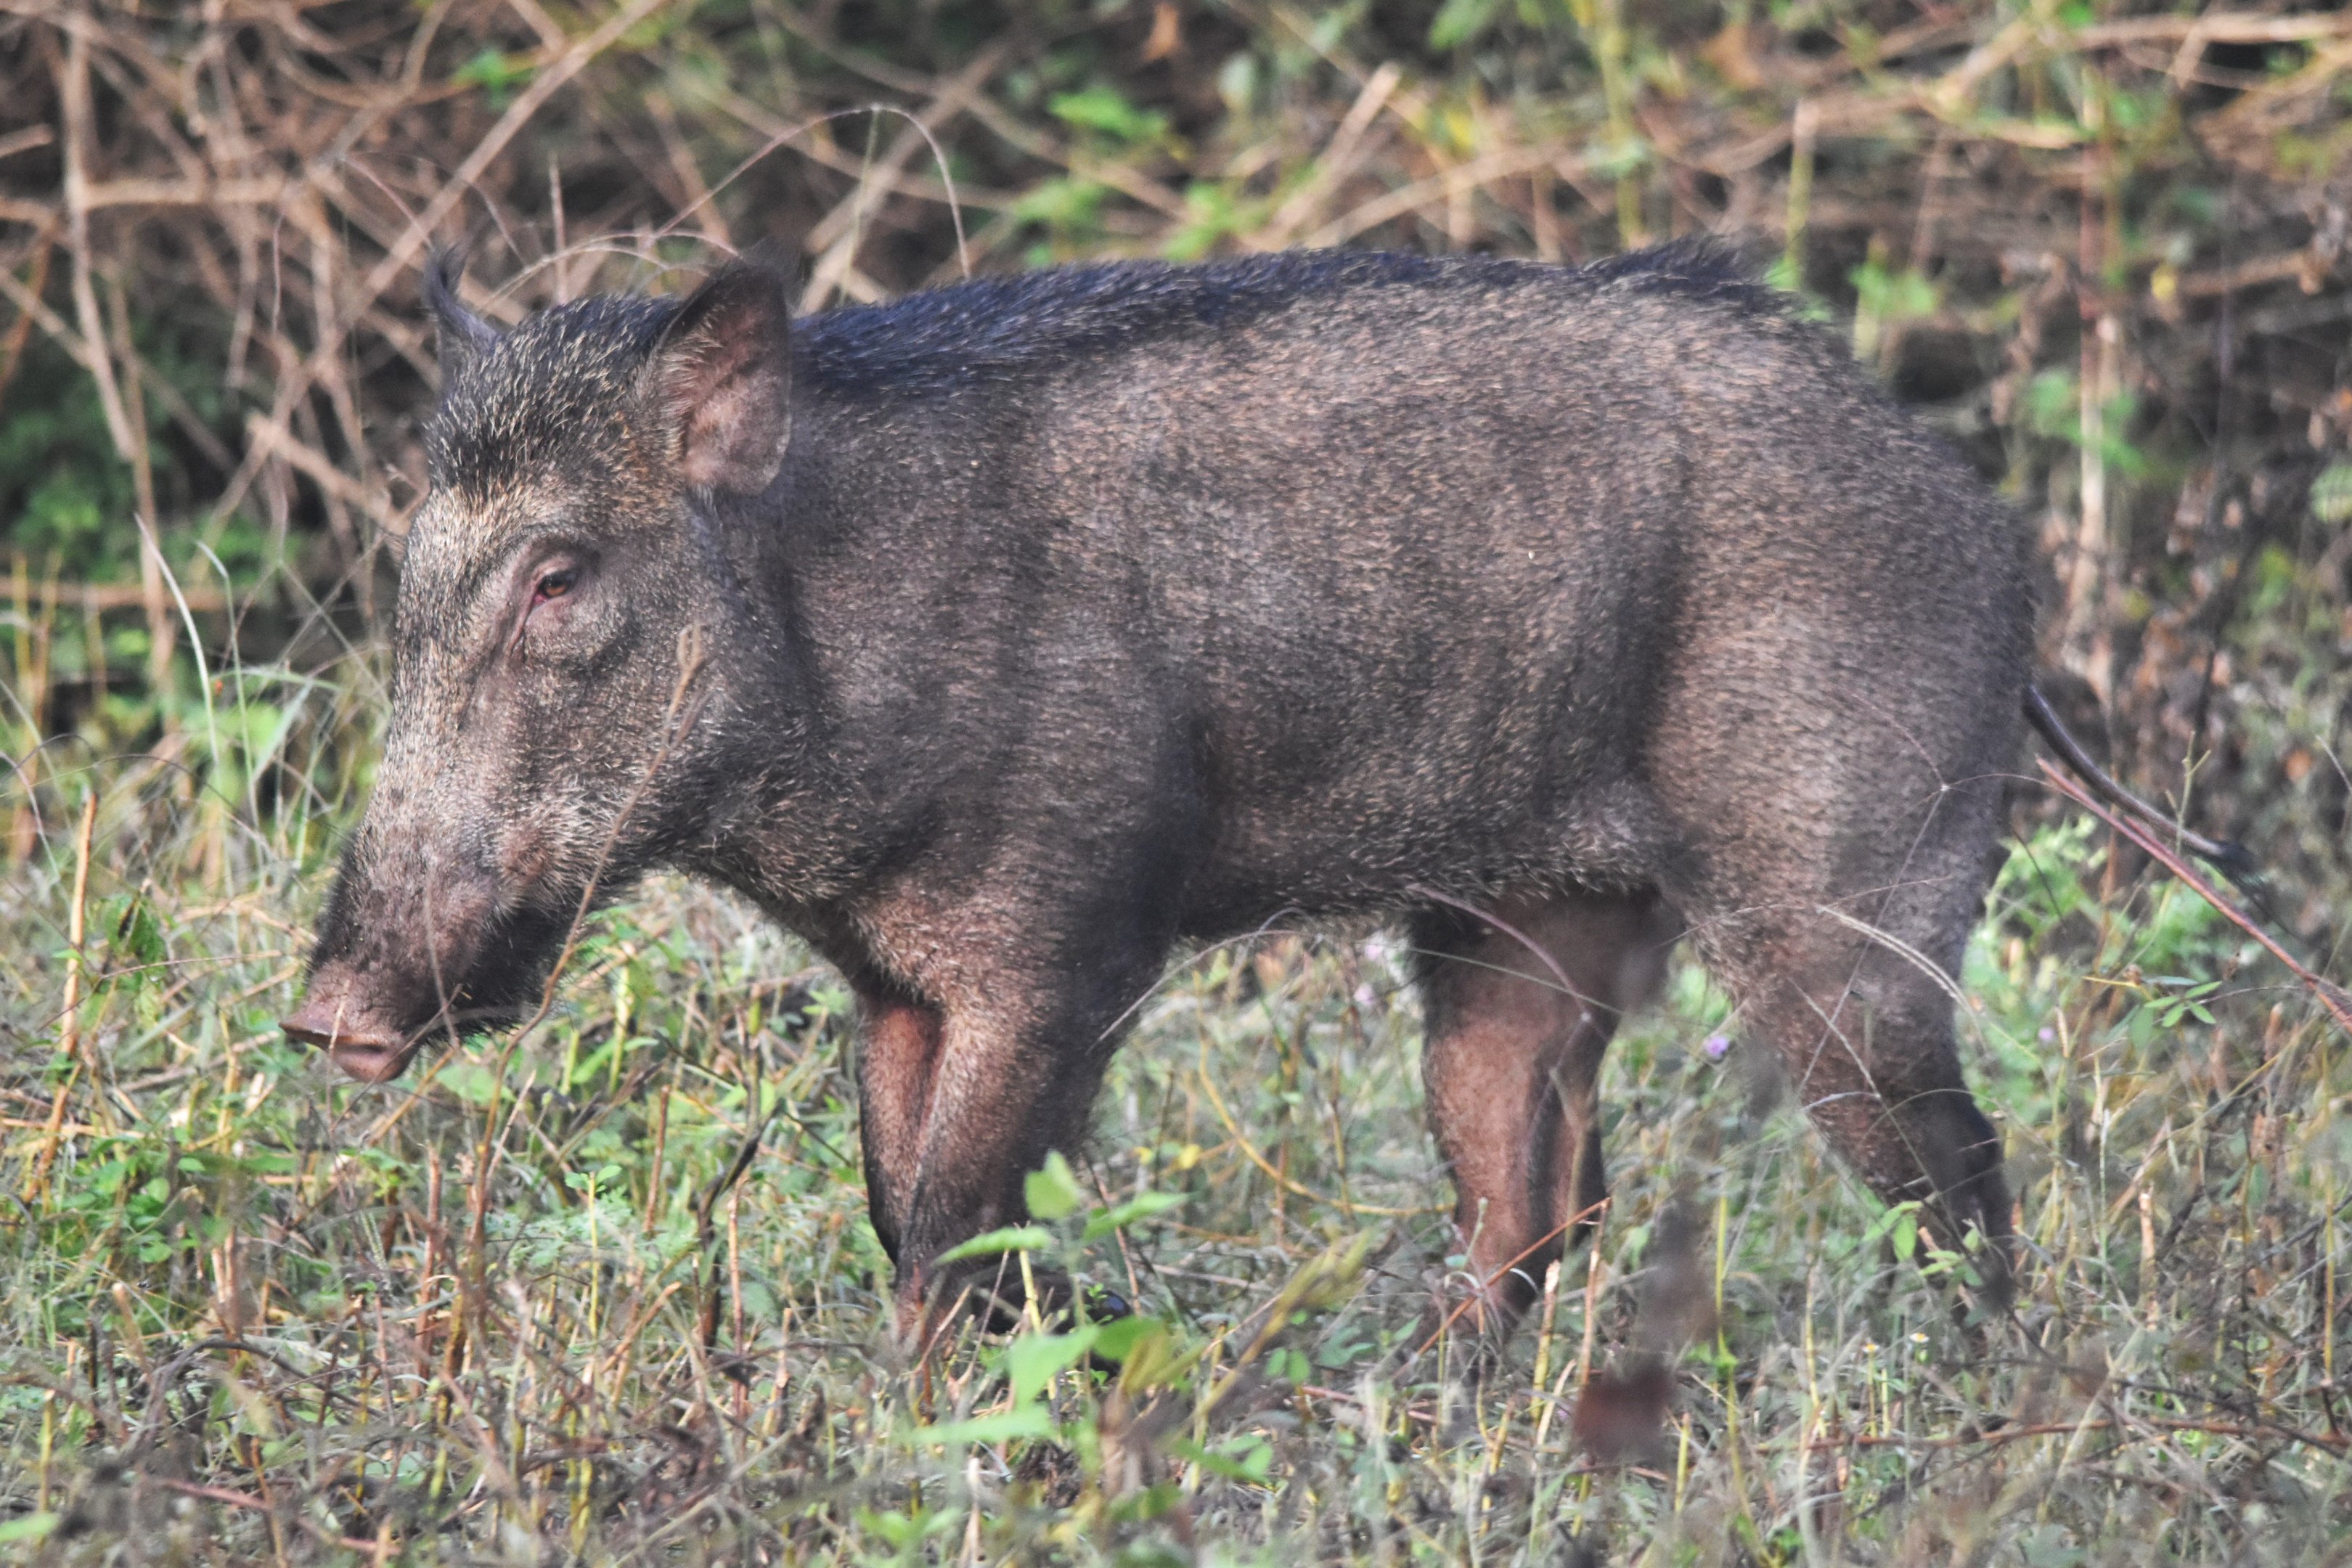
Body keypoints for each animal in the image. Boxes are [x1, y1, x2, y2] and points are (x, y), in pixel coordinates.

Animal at [283, 243, 2032, 1334]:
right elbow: (897, 1211)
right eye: (411, 577)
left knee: (1957, 1183)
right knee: (1532, 1201)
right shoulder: (895, 985)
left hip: (1845, 902)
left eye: (558, 578)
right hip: (1521, 930)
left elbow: (957, 1232)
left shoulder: (1073, 950)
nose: (322, 1020)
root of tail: (1982, 516)